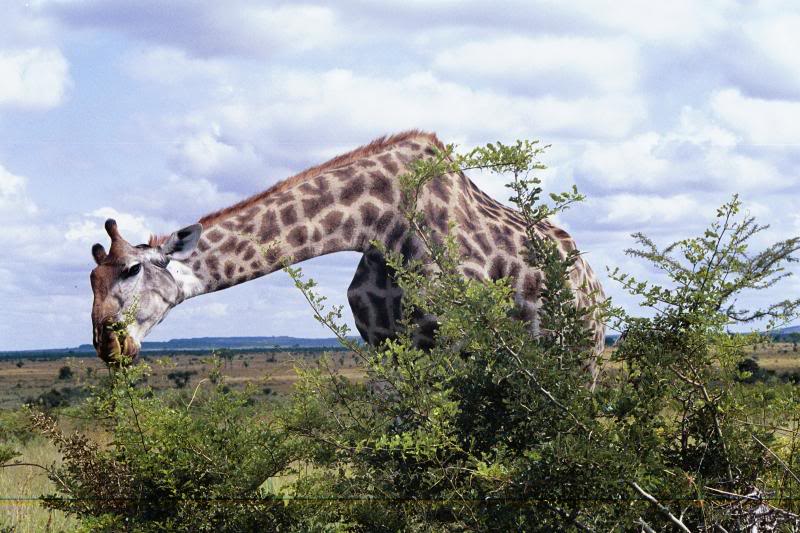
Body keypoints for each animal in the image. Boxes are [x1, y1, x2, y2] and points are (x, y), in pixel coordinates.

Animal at [89, 130, 605, 377]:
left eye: (131, 269)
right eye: (90, 282)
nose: (107, 346)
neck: (382, 225)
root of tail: (590, 278)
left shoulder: (458, 342)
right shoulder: (385, 346)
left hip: (584, 357)